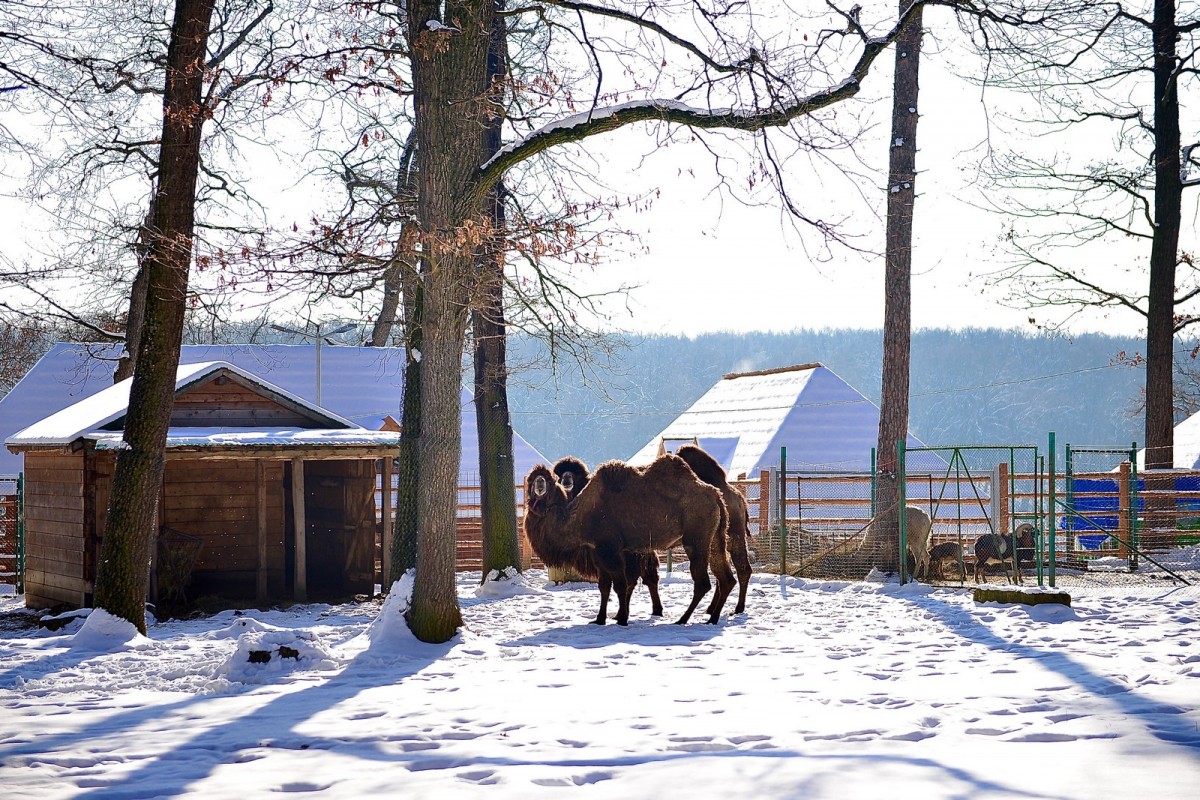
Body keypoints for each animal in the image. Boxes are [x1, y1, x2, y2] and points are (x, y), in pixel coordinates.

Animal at [528, 455, 739, 623]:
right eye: (531, 480)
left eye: (549, 480)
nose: (539, 483)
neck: (581, 516)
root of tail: (716, 495)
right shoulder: (599, 552)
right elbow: (604, 586)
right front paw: (599, 619)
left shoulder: (611, 549)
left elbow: (620, 585)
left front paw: (622, 618)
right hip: (716, 537)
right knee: (726, 578)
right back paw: (712, 618)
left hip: (696, 540)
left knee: (703, 581)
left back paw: (683, 619)